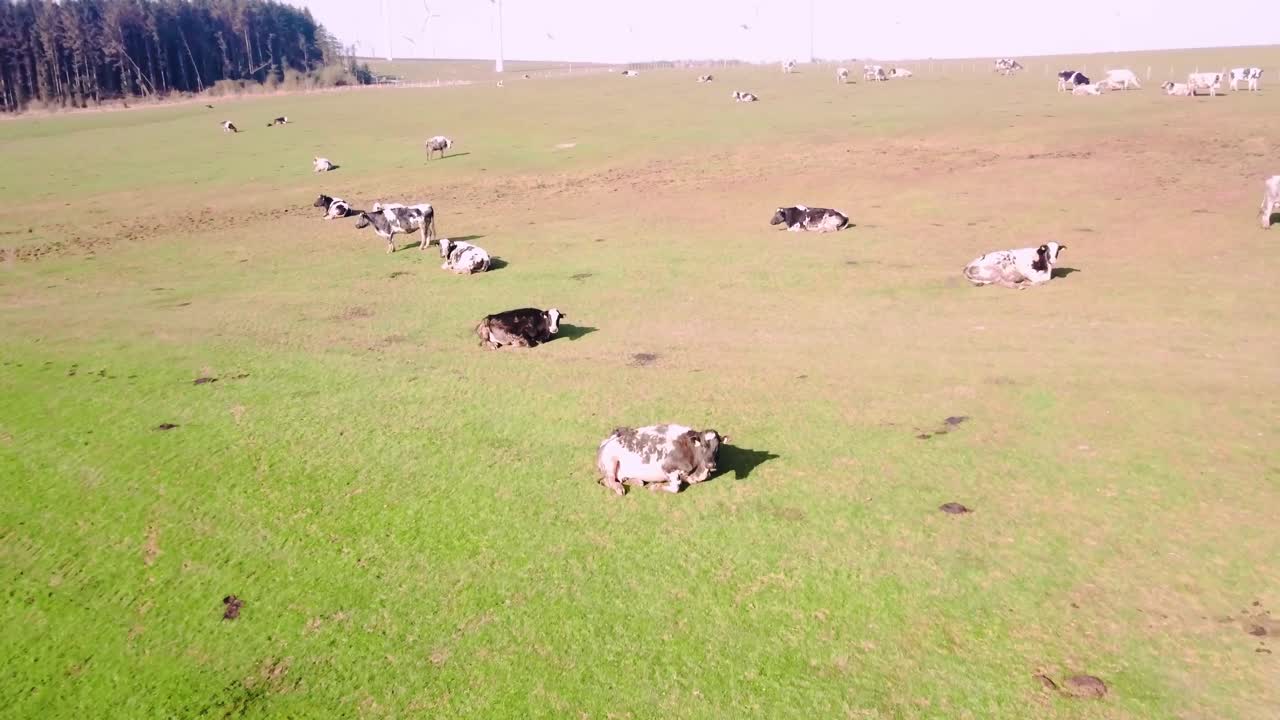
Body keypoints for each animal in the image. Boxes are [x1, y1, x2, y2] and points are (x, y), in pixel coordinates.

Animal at [595, 425, 728, 495]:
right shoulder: (667, 467)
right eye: (704, 445)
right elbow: (675, 487)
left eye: (718, 446)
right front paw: (655, 486)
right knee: (609, 480)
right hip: (610, 461)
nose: (711, 464)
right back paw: (619, 488)